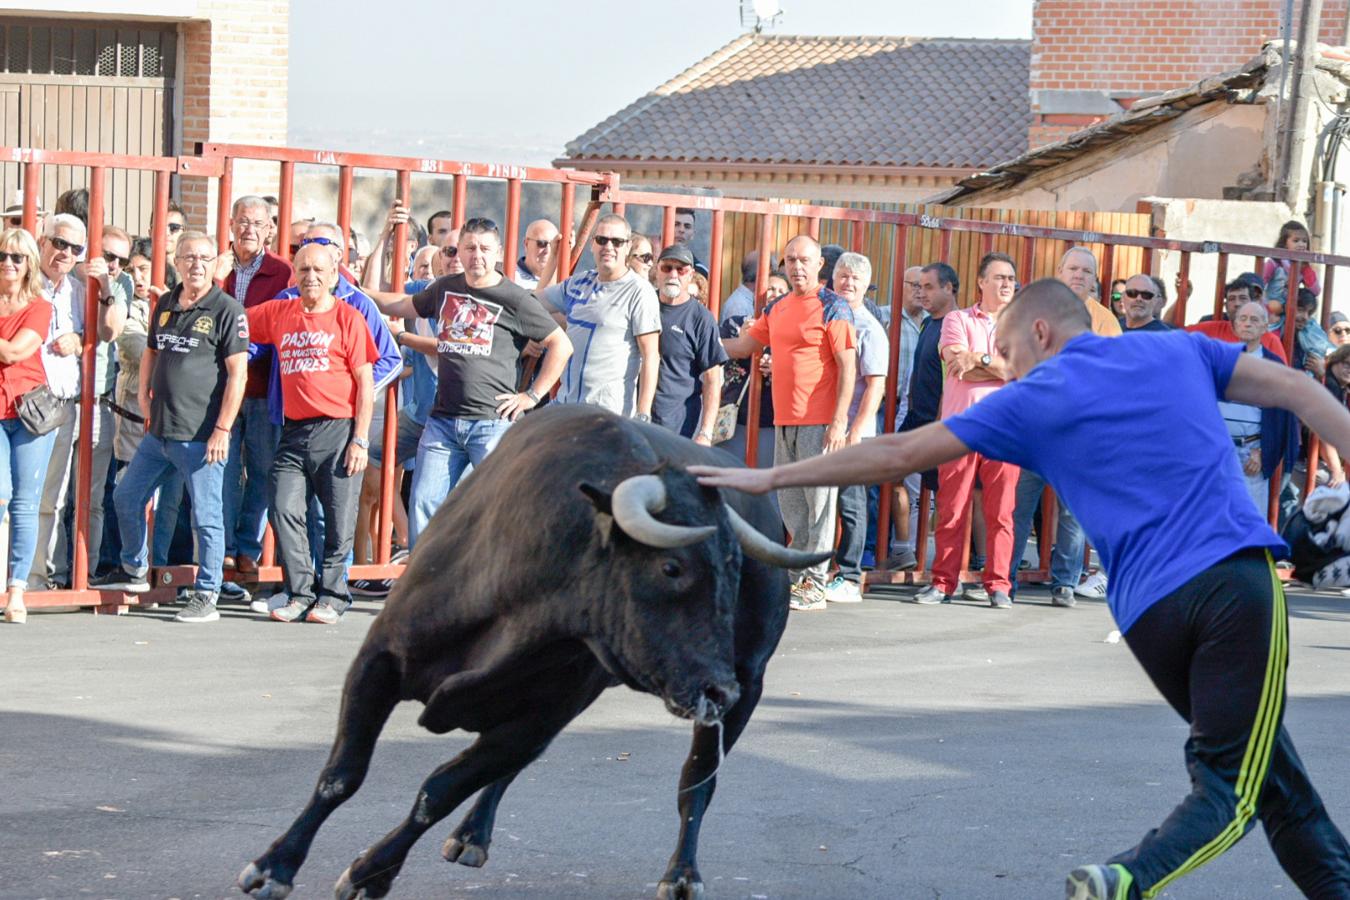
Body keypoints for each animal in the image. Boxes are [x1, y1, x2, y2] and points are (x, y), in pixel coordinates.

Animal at [243, 407, 831, 900]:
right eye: (672, 567)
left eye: (735, 569)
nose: (718, 689)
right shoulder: (379, 661)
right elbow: (342, 773)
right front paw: (275, 866)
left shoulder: (537, 715)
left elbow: (438, 790)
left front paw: (369, 873)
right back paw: (472, 835)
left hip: (747, 684)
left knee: (696, 784)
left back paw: (681, 874)